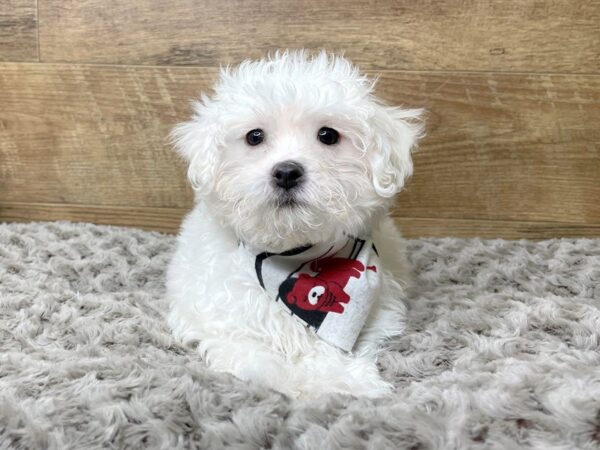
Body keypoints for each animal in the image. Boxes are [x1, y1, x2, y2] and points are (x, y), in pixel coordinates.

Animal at [166, 51, 424, 400]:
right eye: (254, 136)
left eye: (328, 135)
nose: (287, 172)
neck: (294, 253)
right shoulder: (223, 320)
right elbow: (257, 358)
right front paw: (300, 384)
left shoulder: (376, 313)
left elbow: (328, 349)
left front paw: (349, 381)